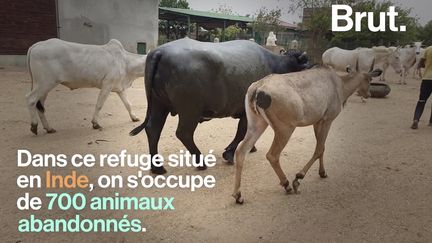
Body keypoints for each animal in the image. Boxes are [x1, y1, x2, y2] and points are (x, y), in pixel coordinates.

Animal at [130, 38, 308, 175]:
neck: (274, 65)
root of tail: (160, 52)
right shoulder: (246, 111)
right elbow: (242, 131)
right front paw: (229, 153)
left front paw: (250, 147)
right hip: (190, 110)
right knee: (183, 133)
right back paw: (200, 162)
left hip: (159, 104)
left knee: (153, 129)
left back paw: (157, 167)